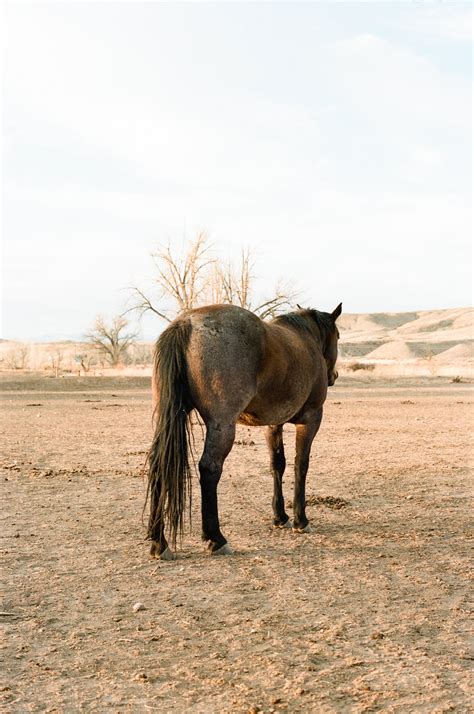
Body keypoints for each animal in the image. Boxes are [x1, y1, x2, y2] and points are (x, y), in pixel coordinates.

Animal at [145, 300, 340, 556]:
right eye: (338, 336)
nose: (333, 376)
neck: (305, 338)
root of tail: (184, 324)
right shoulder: (310, 420)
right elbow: (301, 465)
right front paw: (301, 520)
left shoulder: (274, 424)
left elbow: (277, 465)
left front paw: (280, 517)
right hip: (223, 427)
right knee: (209, 469)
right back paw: (216, 539)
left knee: (159, 464)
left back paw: (159, 542)